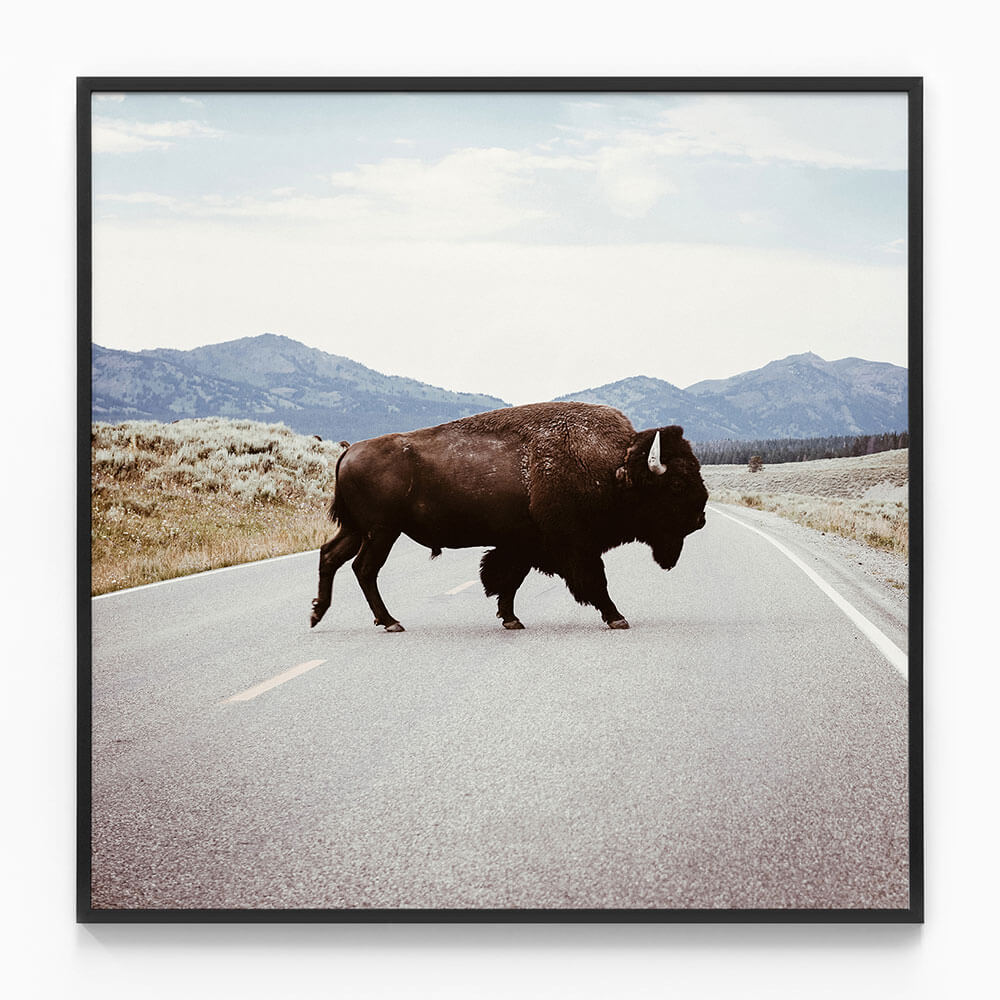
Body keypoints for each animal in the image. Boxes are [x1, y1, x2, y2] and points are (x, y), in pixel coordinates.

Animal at [310, 401, 708, 632]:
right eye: (675, 484)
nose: (701, 517)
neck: (613, 468)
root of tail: (348, 452)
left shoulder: (523, 544)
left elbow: (507, 580)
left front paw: (511, 619)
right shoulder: (574, 546)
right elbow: (595, 581)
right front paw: (617, 617)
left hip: (358, 529)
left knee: (331, 556)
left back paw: (319, 613)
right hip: (382, 531)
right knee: (364, 568)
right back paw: (390, 622)